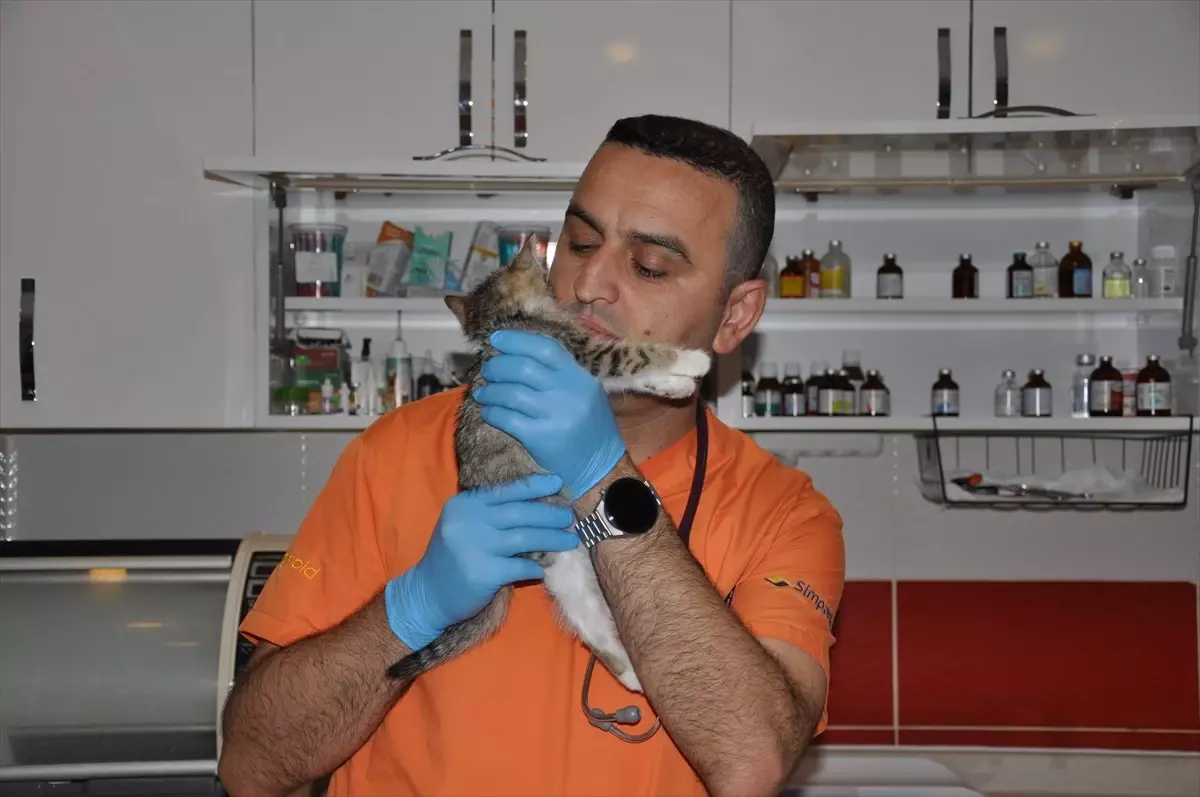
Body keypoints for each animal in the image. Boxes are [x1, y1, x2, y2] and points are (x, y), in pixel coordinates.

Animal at [385, 240, 711, 691]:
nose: (554, 274)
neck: (507, 321)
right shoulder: (589, 353)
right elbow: (635, 354)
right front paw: (692, 361)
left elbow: (636, 374)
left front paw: (675, 384)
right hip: (559, 560)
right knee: (590, 620)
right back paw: (631, 674)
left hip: (570, 568)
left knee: (591, 621)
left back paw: (630, 674)